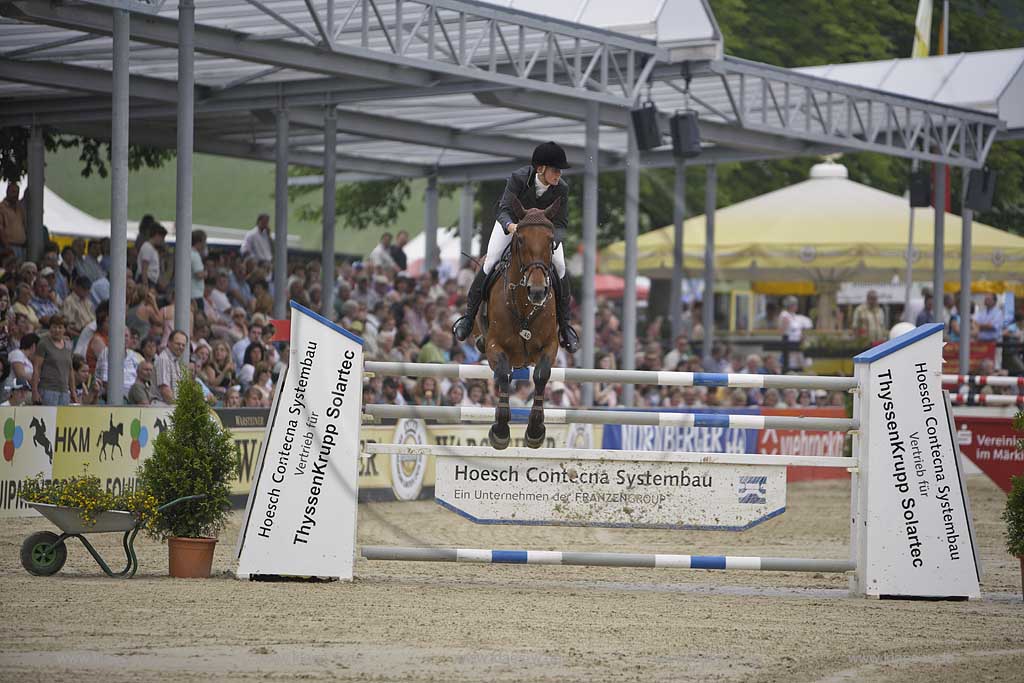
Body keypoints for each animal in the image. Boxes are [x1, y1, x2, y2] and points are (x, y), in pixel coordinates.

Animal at [473, 198, 561, 454]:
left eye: (551, 241)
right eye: (520, 239)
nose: (538, 291)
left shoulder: (550, 345)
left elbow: (541, 375)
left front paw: (535, 431)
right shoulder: (495, 345)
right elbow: (503, 373)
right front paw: (500, 432)